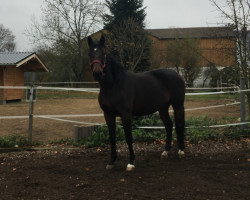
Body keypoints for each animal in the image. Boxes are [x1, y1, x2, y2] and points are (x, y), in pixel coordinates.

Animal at [88, 35, 186, 170]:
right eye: (89, 54)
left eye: (104, 53)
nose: (97, 73)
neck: (113, 86)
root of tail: (178, 75)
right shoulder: (108, 115)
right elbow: (112, 137)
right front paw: (111, 161)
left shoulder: (126, 115)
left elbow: (129, 137)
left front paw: (131, 162)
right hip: (162, 108)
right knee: (169, 125)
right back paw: (165, 151)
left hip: (178, 105)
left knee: (179, 124)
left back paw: (181, 151)